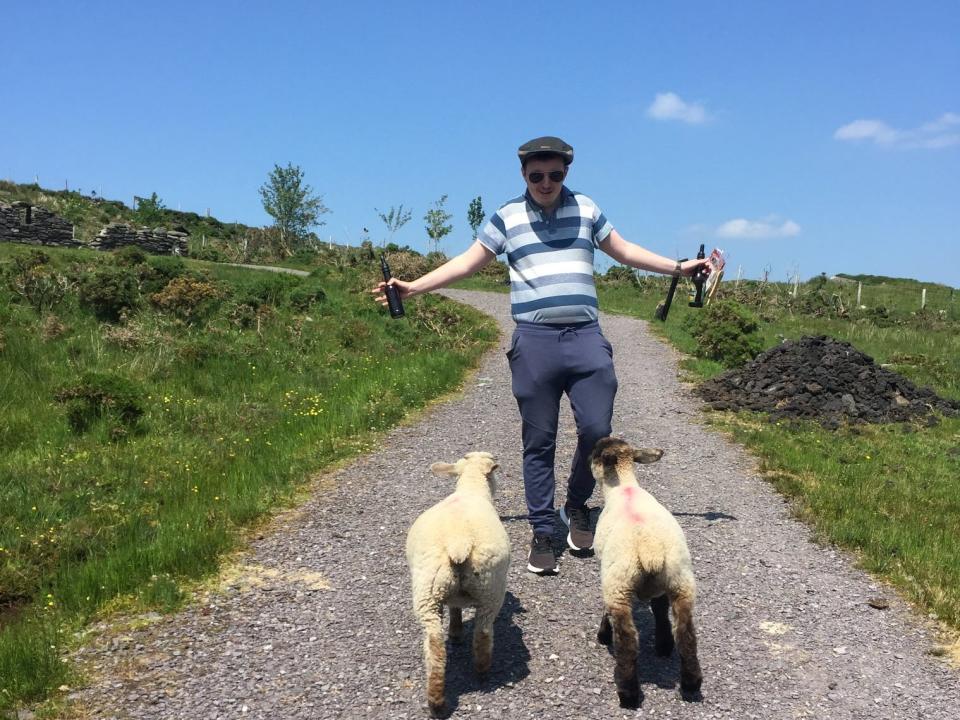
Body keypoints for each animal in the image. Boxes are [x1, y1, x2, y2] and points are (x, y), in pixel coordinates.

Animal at [404, 450, 510, 716]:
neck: (471, 489)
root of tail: (459, 544)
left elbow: (454, 607)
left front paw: (455, 630)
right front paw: (456, 631)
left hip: (429, 591)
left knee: (435, 645)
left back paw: (436, 700)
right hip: (491, 589)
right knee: (482, 633)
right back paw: (481, 672)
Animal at [588, 436, 700, 704]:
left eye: (594, 453)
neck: (624, 488)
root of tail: (651, 550)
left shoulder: (607, 576)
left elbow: (606, 610)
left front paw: (603, 635)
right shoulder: (661, 588)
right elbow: (659, 609)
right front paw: (663, 644)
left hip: (619, 584)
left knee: (628, 639)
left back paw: (627, 692)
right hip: (681, 581)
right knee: (686, 633)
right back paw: (691, 682)